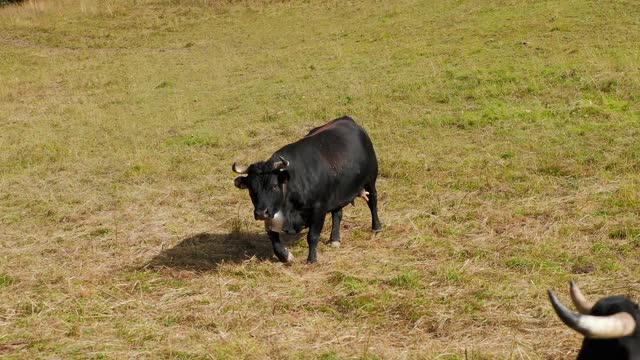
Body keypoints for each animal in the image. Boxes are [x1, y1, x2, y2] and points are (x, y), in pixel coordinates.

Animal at [231, 116, 380, 262]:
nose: (261, 213)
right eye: (251, 189)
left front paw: (311, 259)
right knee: (337, 212)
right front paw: (285, 256)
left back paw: (376, 228)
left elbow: (312, 236)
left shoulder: (319, 208)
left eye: (274, 185)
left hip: (370, 180)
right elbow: (273, 237)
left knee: (372, 202)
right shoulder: (272, 214)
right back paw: (335, 239)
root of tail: (348, 120)